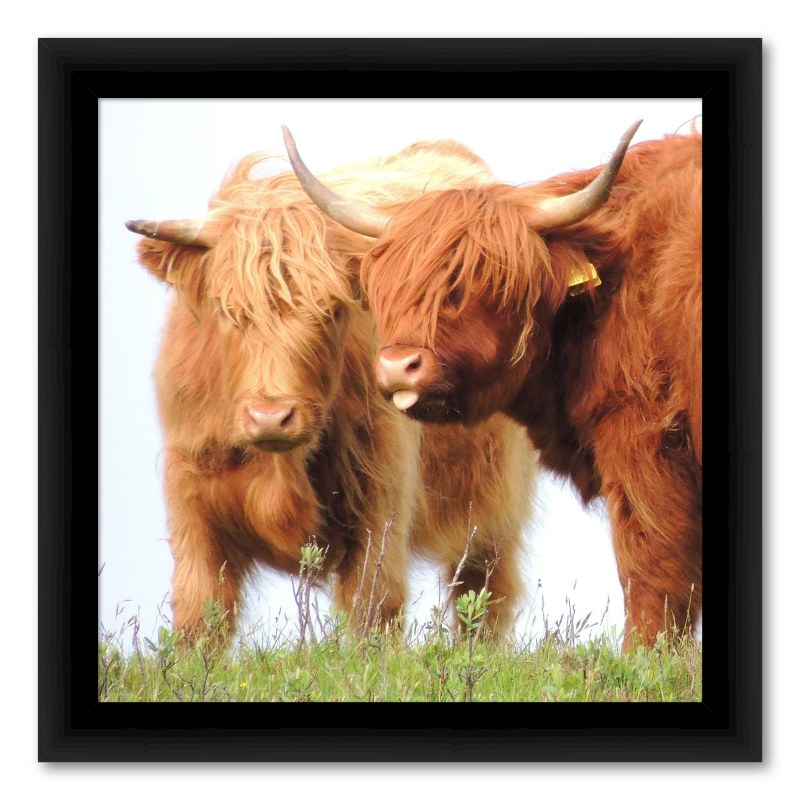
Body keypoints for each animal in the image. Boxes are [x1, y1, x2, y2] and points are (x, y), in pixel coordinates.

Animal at [126, 139, 537, 644]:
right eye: (227, 309)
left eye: (332, 309)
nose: (271, 417)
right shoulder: (191, 496)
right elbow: (200, 613)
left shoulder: (380, 498)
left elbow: (373, 607)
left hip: (494, 513)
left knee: (483, 601)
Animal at [286, 121, 702, 649]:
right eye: (388, 288)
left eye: (479, 282)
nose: (399, 366)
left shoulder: (644, 442)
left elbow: (655, 578)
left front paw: (645, 660)